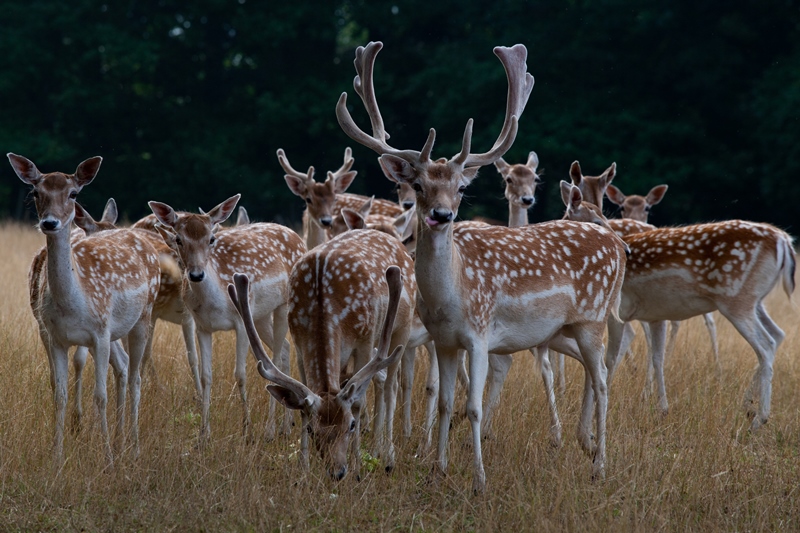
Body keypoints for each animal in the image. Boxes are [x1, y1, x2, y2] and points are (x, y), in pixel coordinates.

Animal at [10, 154, 161, 466]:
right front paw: (57, 457)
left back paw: (134, 447)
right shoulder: (54, 336)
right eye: (36, 192)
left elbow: (100, 396)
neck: (73, 301)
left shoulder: (100, 333)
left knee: (136, 377)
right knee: (124, 367)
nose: (50, 222)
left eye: (73, 193)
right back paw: (120, 440)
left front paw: (107, 459)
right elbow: (59, 393)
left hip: (143, 317)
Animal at [148, 194, 306, 440]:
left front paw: (247, 429)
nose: (196, 274)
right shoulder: (202, 326)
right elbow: (206, 377)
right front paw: (204, 435)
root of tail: (298, 237)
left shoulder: (240, 323)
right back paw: (286, 425)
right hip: (259, 316)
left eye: (211, 238)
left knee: (277, 354)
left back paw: (271, 429)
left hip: (281, 306)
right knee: (285, 349)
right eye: (178, 239)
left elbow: (240, 374)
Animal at [334, 41, 628, 490]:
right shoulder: (443, 340)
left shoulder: (479, 332)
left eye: (460, 187)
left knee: (603, 381)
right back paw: (587, 445)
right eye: (418, 184)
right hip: (564, 329)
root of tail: (617, 246)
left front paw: (479, 480)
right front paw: (436, 469)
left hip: (593, 317)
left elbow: (472, 406)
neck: (451, 296)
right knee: (594, 376)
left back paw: (600, 466)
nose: (441, 214)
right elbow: (443, 402)